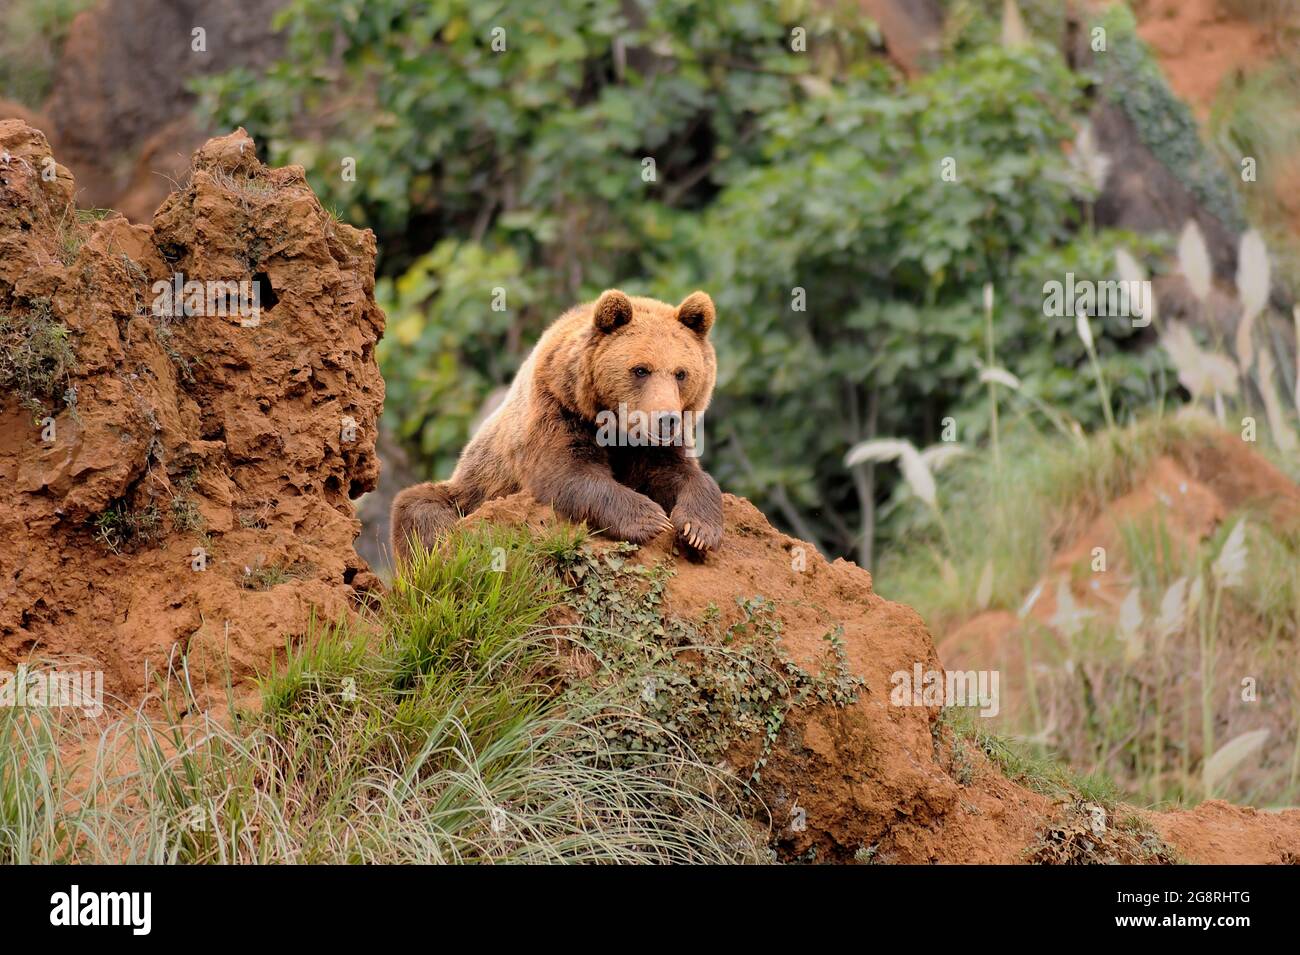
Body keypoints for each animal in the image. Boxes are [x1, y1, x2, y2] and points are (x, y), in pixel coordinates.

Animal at [390, 287, 728, 563]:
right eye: (641, 369)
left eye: (681, 373)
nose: (665, 420)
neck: (614, 426)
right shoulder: (556, 409)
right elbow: (569, 473)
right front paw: (648, 519)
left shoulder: (653, 446)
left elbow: (680, 473)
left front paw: (699, 529)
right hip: (471, 492)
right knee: (420, 509)